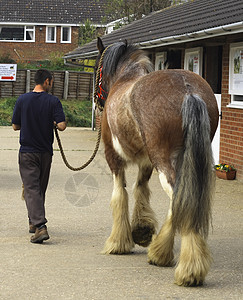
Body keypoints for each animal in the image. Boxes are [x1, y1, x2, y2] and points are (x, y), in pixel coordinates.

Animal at [96, 37, 219, 286]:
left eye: (98, 68)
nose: (96, 103)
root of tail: (188, 90)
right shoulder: (146, 161)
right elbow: (140, 189)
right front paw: (142, 230)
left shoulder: (113, 156)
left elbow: (120, 194)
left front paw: (118, 243)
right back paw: (167, 254)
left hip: (164, 161)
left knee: (180, 199)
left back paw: (185, 267)